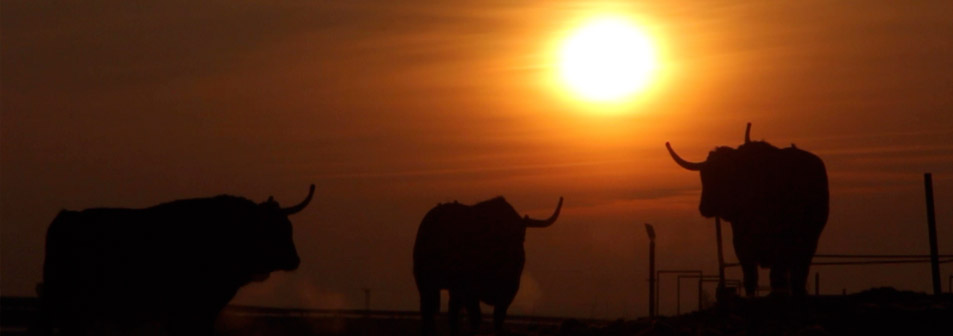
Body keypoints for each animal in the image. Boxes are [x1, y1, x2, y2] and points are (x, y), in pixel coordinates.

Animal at [412, 196, 560, 334]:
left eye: (521, 236)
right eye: (495, 234)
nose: (516, 257)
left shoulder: (509, 290)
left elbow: (498, 318)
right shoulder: (469, 290)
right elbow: (476, 317)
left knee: (451, 311)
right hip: (425, 282)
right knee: (428, 310)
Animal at [664, 124, 828, 296]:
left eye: (722, 176)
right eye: (704, 176)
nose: (704, 207)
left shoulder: (779, 246)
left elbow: (777, 278)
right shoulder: (742, 247)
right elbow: (750, 279)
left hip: (808, 243)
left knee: (798, 275)